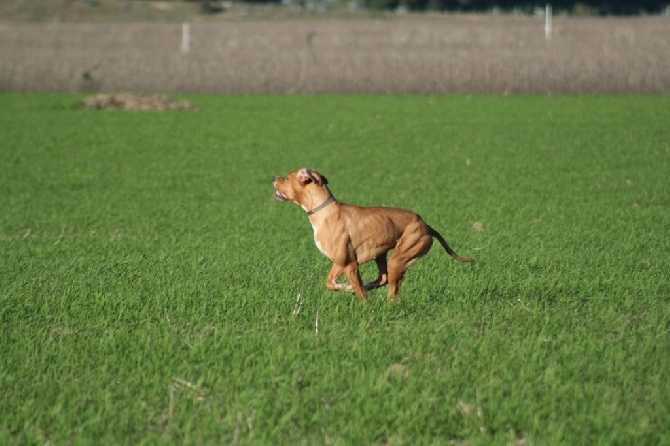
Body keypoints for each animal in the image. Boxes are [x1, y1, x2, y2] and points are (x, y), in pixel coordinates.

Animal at [270, 169, 476, 302]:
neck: (325, 212)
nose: (273, 177)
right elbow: (330, 282)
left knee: (391, 291)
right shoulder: (340, 262)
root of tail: (426, 225)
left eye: (287, 178)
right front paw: (347, 288)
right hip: (382, 255)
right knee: (383, 279)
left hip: (398, 258)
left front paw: (364, 304)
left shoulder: (350, 265)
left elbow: (361, 295)